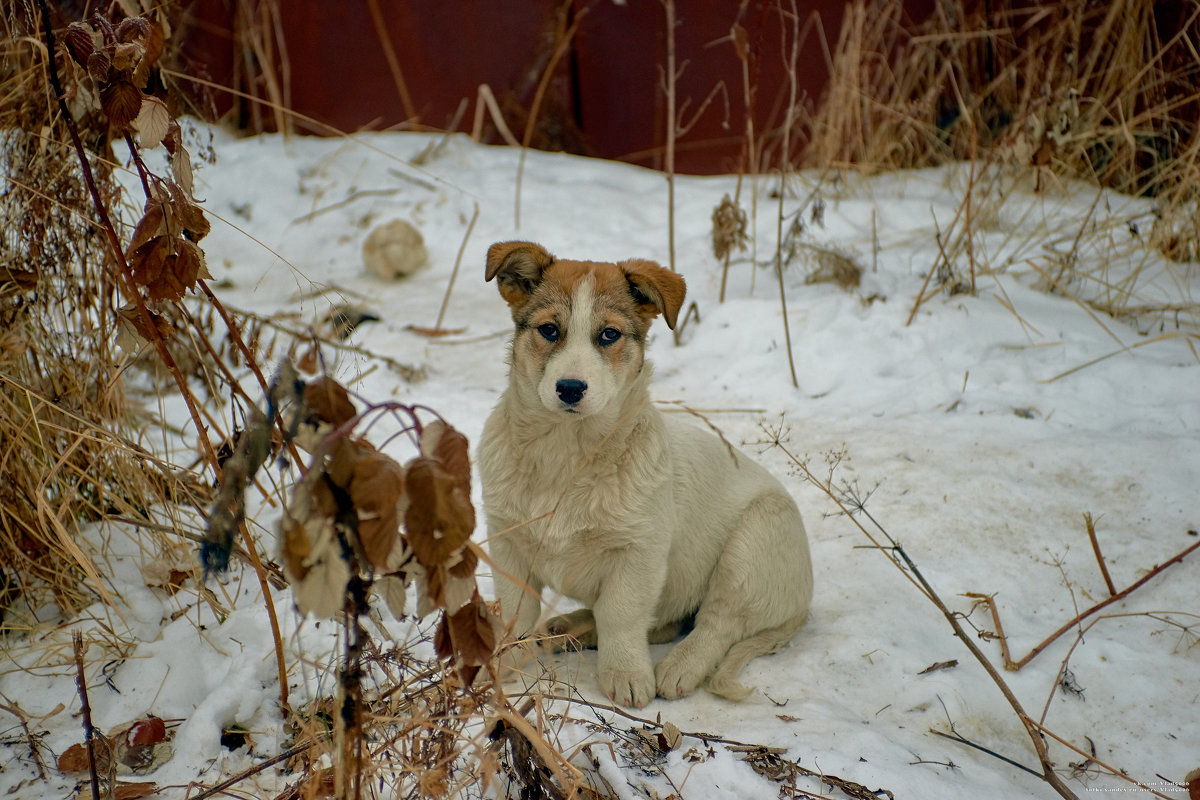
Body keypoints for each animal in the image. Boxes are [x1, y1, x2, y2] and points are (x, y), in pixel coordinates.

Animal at [477, 239, 816, 705]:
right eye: (548, 330)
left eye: (609, 334)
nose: (570, 388)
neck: (568, 454)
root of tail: (802, 601)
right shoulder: (509, 543)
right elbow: (517, 613)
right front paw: (502, 665)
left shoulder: (638, 553)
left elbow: (621, 615)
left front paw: (626, 674)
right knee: (667, 622)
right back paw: (570, 628)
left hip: (750, 551)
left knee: (716, 624)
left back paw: (678, 668)